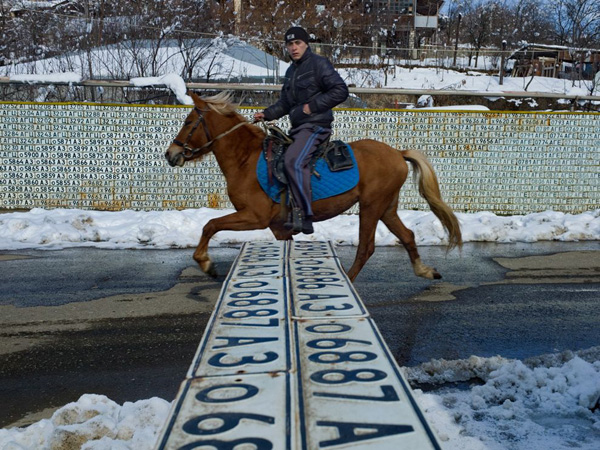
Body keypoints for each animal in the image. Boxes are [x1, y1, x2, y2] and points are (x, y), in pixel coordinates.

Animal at [164, 91, 460, 282]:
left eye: (188, 122)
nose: (170, 154)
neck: (246, 159)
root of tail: (398, 153)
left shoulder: (255, 217)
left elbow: (210, 225)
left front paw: (206, 263)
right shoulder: (278, 227)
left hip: (371, 207)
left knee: (366, 248)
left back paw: (348, 280)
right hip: (387, 207)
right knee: (407, 235)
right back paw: (425, 271)